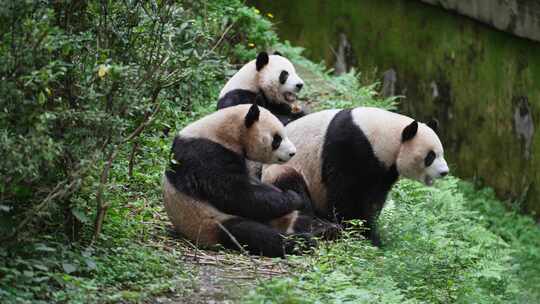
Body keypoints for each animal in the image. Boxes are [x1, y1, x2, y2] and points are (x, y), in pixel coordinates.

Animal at [162, 102, 336, 256]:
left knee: (296, 219)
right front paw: (293, 197)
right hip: (208, 223)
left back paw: (324, 229)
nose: (292, 153)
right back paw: (301, 242)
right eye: (277, 139)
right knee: (250, 234)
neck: (224, 132)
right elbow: (237, 194)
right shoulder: (205, 154)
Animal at [262, 107, 452, 247]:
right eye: (430, 156)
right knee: (292, 188)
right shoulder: (350, 146)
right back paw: (323, 227)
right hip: (285, 168)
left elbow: (374, 199)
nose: (444, 172)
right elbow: (346, 193)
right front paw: (361, 233)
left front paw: (371, 233)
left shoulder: (382, 170)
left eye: (441, 153)